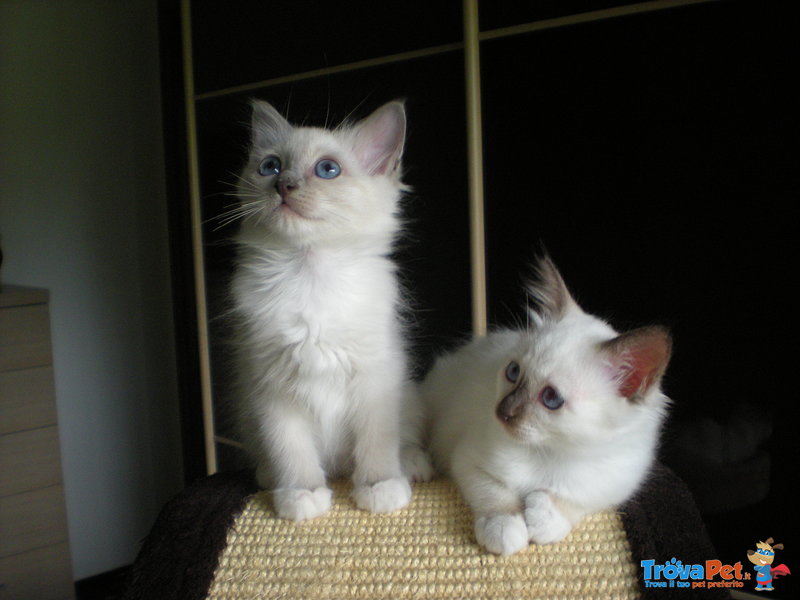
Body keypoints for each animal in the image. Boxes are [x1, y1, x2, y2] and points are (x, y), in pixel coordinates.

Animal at [422, 255, 672, 556]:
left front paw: (545, 518)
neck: (551, 451)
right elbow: (495, 495)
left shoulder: (615, 483)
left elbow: (576, 501)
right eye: (514, 372)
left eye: (551, 398)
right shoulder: (468, 460)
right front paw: (505, 529)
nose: (502, 412)